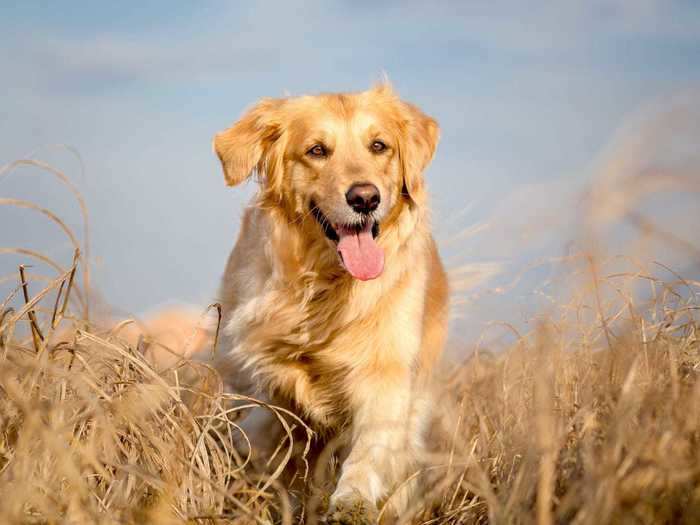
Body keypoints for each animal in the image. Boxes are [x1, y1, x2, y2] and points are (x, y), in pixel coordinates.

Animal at [213, 83, 448, 520]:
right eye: (317, 150)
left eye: (379, 145)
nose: (365, 198)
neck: (325, 286)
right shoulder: (259, 375)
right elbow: (266, 435)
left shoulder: (386, 373)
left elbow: (370, 447)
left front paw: (352, 499)